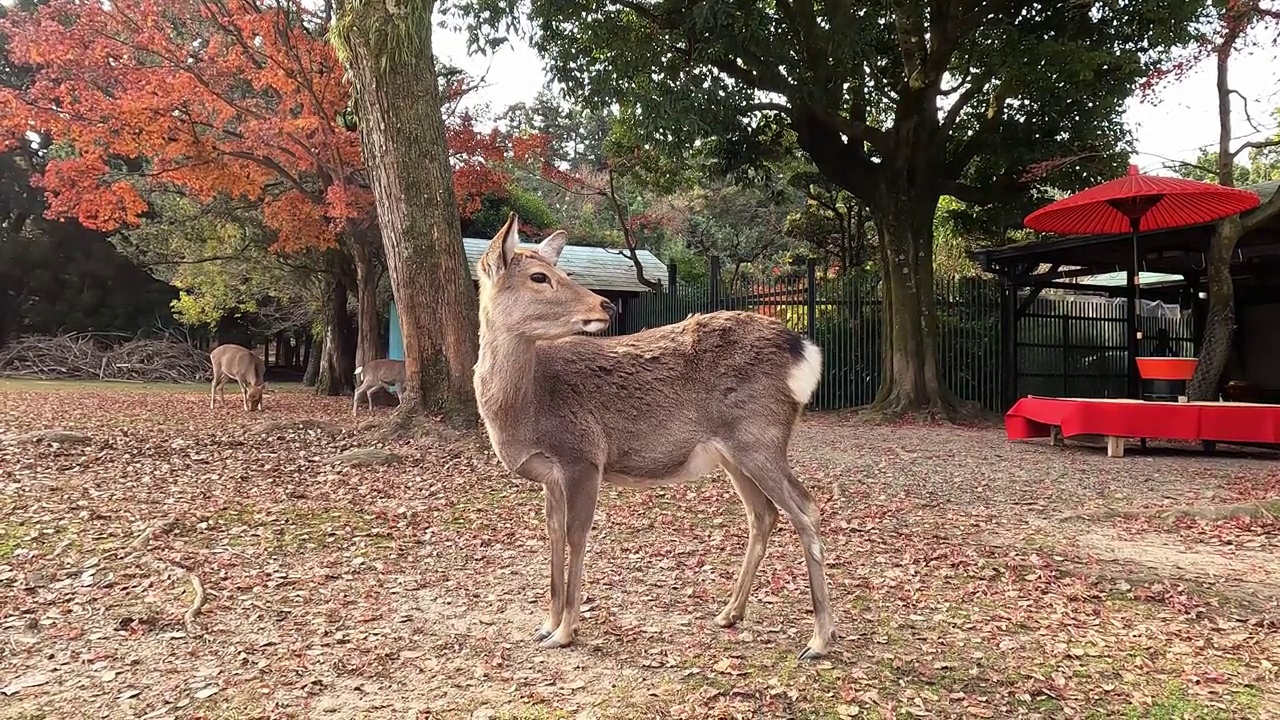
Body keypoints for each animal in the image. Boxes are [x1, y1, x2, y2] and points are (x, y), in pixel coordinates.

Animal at [476, 211, 834, 655]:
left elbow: (577, 536)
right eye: (539, 276)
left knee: (806, 508)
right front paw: (546, 624)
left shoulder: (583, 457)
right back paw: (729, 613)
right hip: (735, 453)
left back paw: (819, 638)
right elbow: (554, 535)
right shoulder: (550, 474)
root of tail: (805, 350)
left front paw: (565, 631)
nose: (605, 304)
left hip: (761, 437)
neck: (525, 409)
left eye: (561, 271)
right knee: (763, 513)